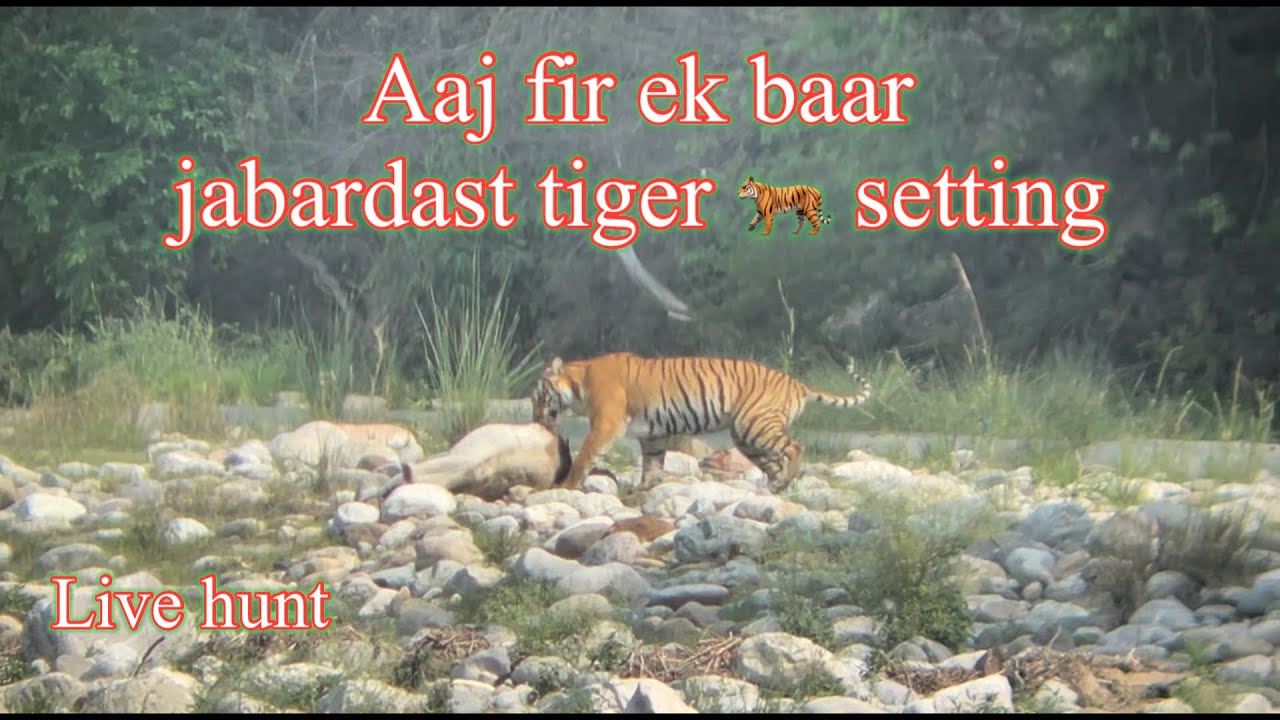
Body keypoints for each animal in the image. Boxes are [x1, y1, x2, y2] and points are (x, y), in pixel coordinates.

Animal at [530, 352, 872, 494]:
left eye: (537, 397)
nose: (534, 419)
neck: (580, 379)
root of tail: (797, 383)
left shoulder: (606, 424)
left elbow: (585, 456)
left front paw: (566, 486)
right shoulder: (652, 436)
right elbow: (652, 464)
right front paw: (645, 489)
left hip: (754, 425)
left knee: (795, 447)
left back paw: (785, 480)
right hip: (746, 437)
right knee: (773, 461)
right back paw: (776, 486)